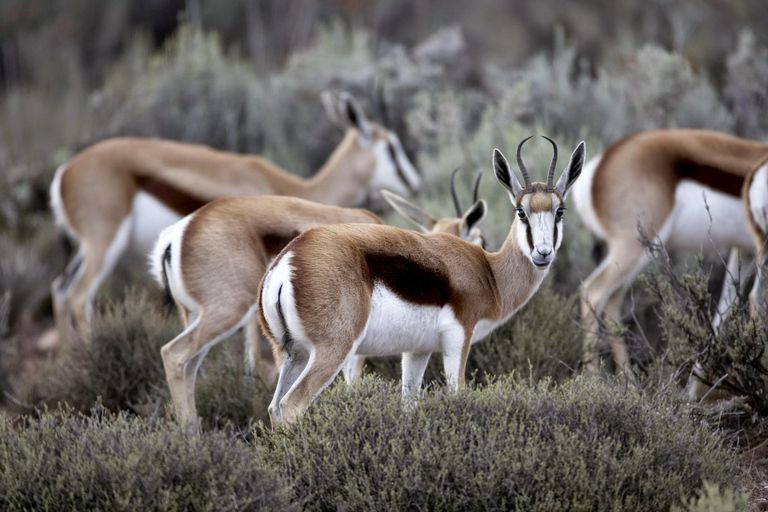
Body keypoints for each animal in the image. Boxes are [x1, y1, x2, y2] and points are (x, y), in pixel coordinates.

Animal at [49, 91, 420, 340]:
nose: (415, 182)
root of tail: (65, 173)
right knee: (79, 296)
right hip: (104, 244)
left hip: (87, 249)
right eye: (391, 147)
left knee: (60, 289)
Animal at [151, 170, 486, 426]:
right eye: (480, 239)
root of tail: (179, 231)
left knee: (189, 367)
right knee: (173, 354)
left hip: (200, 318)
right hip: (228, 312)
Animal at [260, 137, 584, 424]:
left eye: (559, 210)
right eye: (521, 211)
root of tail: (288, 260)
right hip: (333, 350)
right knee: (291, 405)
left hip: (292, 354)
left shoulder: (418, 350)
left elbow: (409, 403)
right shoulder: (458, 338)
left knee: (274, 408)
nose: (543, 253)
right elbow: (457, 394)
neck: (489, 274)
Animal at [576, 128, 768, 384]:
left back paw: (632, 386)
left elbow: (721, 314)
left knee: (613, 300)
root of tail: (602, 162)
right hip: (637, 248)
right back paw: (595, 384)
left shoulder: (744, 251)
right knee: (593, 292)